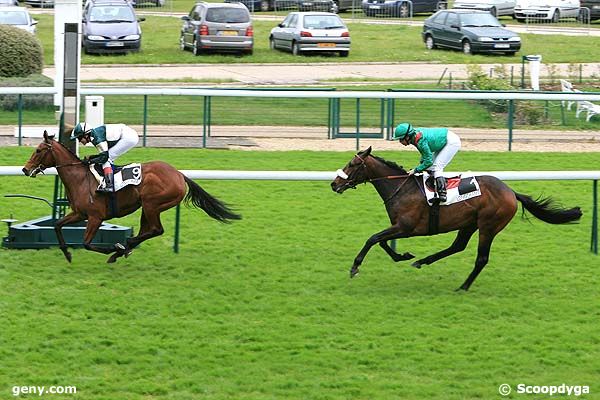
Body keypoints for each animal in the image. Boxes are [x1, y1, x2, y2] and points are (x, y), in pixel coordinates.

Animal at [21, 131, 241, 262]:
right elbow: (58, 226)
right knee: (148, 230)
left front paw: (112, 248)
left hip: (152, 204)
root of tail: (179, 175)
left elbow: (86, 243)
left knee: (156, 230)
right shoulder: (79, 214)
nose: (25, 169)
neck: (80, 179)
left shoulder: (95, 217)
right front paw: (67, 253)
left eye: (38, 150)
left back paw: (123, 247)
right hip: (147, 206)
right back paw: (126, 248)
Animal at [330, 147, 584, 290]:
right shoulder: (399, 227)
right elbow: (381, 241)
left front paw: (355, 267)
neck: (401, 188)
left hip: (488, 226)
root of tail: (511, 192)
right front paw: (404, 256)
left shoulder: (406, 227)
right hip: (469, 223)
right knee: (458, 246)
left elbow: (373, 239)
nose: (334, 184)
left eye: (352, 164)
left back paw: (463, 286)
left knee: (481, 258)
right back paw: (423, 261)